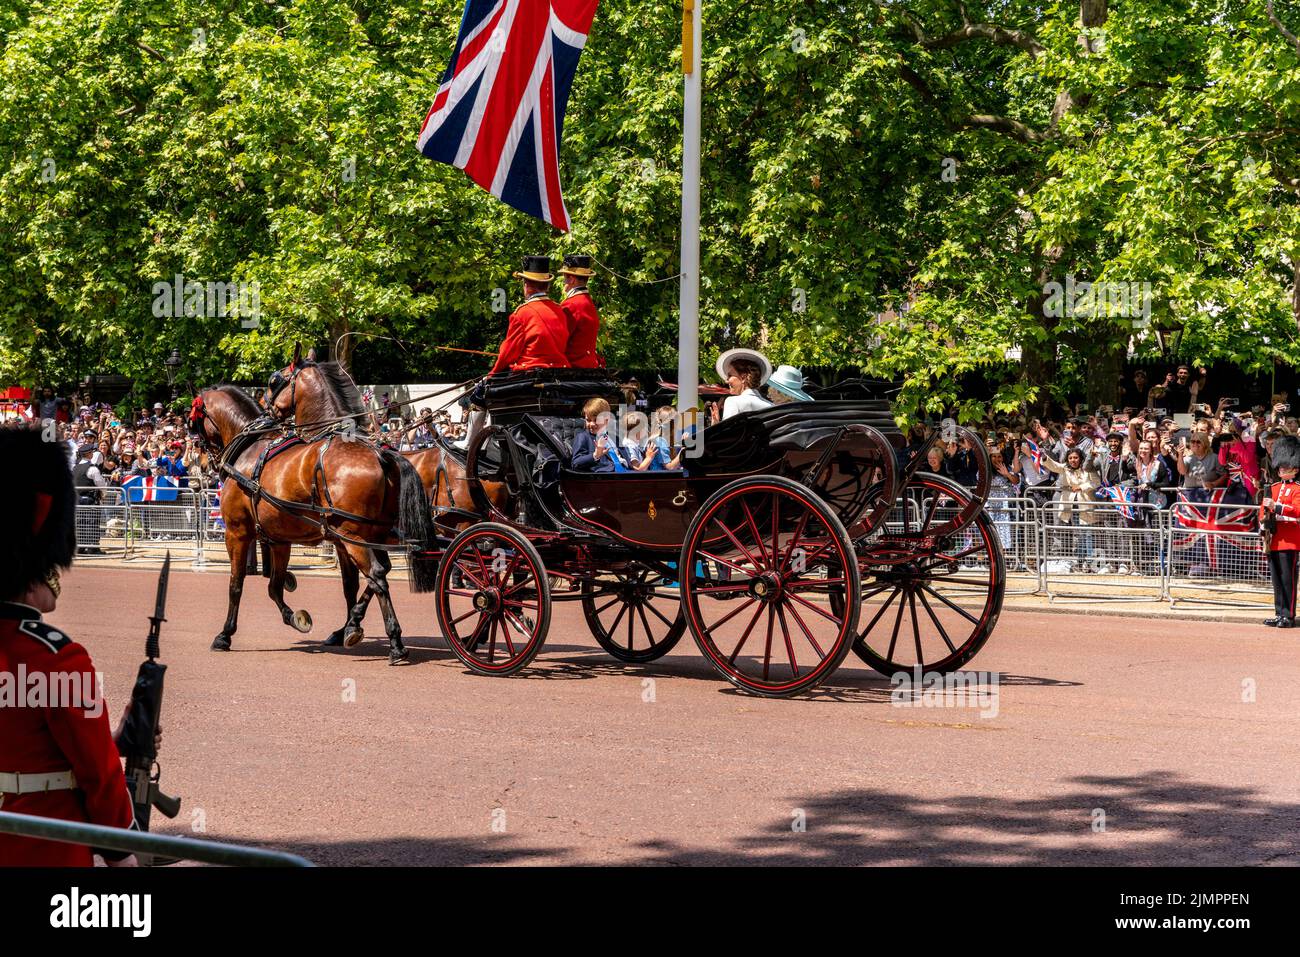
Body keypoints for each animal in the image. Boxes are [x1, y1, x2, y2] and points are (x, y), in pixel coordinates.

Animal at [188, 384, 439, 660]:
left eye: (193, 423)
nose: (201, 465)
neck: (249, 450)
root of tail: (381, 452)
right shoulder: (279, 540)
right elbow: (275, 586)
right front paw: (297, 618)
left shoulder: (237, 533)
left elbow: (236, 585)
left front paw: (225, 634)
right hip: (368, 535)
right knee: (376, 574)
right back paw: (353, 627)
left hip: (354, 537)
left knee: (376, 575)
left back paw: (394, 642)